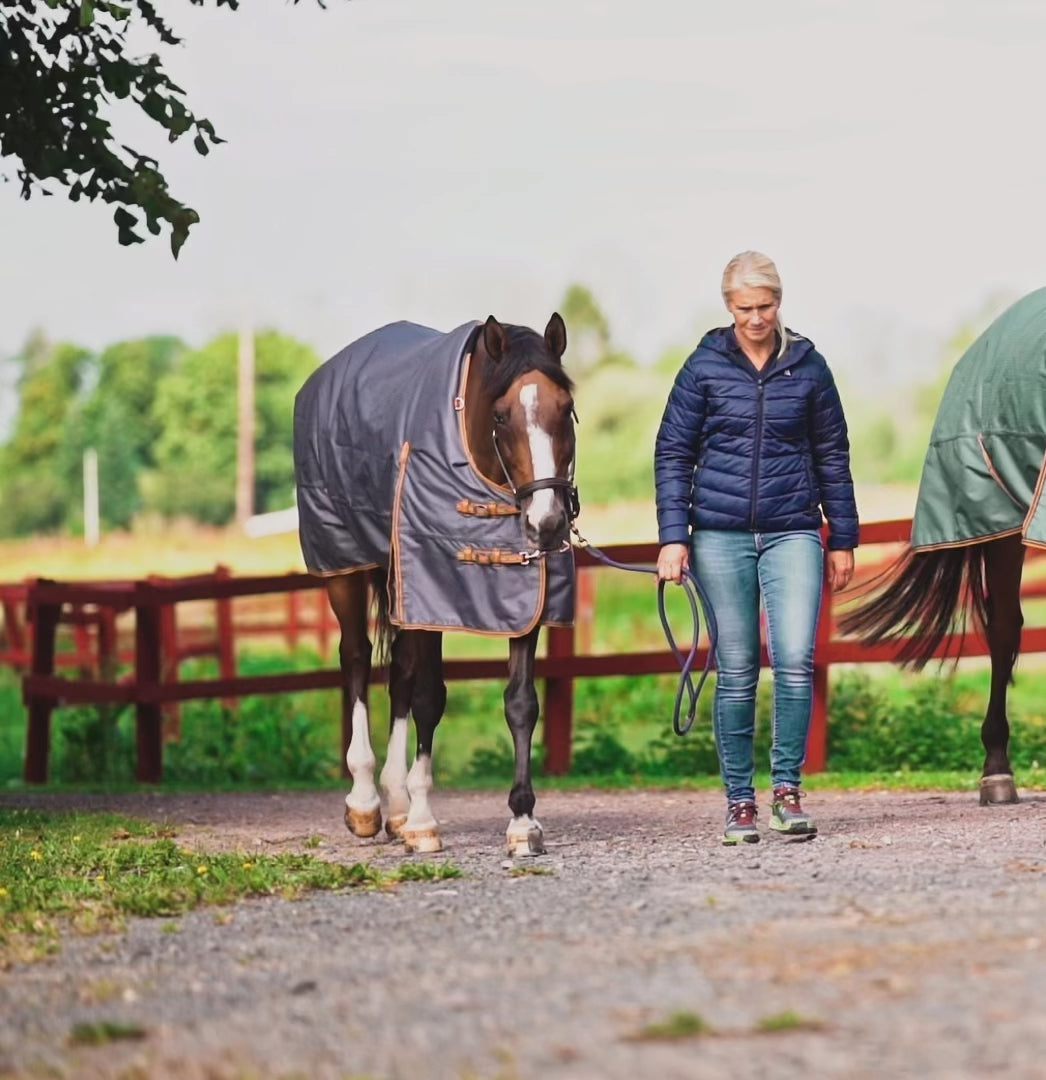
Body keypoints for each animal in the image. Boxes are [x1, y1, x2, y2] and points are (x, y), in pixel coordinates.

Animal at [293, 315, 574, 859]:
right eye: (502, 415)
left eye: (566, 408)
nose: (547, 523)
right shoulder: (430, 588)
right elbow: (428, 697)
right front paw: (424, 822)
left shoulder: (523, 601)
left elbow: (520, 704)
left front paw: (522, 822)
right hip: (346, 571)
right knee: (356, 658)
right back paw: (366, 801)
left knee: (397, 673)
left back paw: (396, 807)